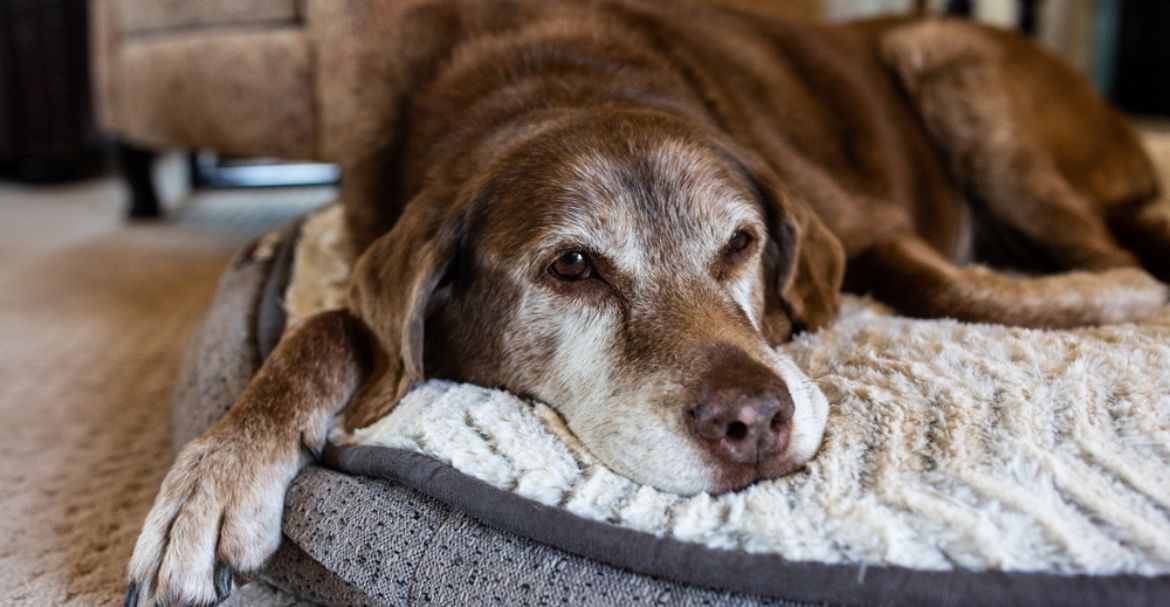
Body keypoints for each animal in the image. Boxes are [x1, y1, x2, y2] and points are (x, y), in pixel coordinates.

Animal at [125, 2, 1170, 603]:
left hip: (951, 63)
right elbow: (332, 325)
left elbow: (939, 281)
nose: (755, 423)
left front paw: (1116, 303)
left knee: (1105, 242)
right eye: (574, 267)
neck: (551, 79)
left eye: (741, 243)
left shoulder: (863, 223)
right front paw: (216, 476)